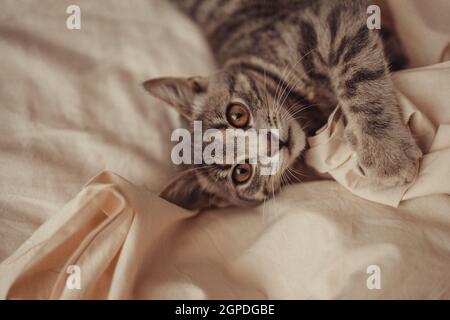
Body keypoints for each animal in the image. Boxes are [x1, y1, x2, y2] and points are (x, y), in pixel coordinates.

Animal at [143, 0, 422, 210]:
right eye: (241, 172)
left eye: (237, 114)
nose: (273, 142)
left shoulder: (328, 22)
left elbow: (358, 72)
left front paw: (386, 152)